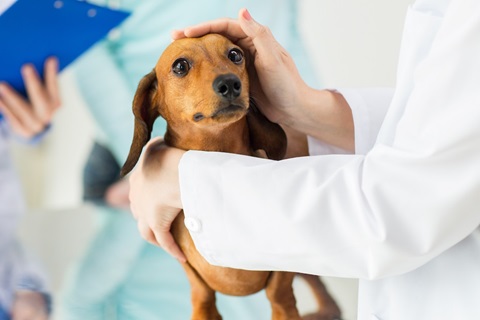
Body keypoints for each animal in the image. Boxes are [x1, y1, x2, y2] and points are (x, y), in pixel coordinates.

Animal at [122, 34, 344, 320]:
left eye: (235, 55)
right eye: (180, 66)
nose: (229, 83)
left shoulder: (282, 278)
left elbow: (279, 294)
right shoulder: (196, 283)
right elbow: (202, 297)